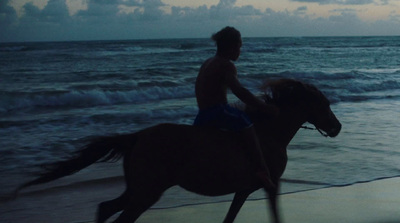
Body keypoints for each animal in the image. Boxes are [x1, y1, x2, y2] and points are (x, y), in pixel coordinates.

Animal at [15, 79, 340, 223]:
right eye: (324, 105)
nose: (337, 127)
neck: (269, 133)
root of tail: (138, 137)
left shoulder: (244, 189)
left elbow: (230, 218)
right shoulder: (270, 185)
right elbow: (275, 215)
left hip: (138, 188)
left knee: (106, 207)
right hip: (147, 192)